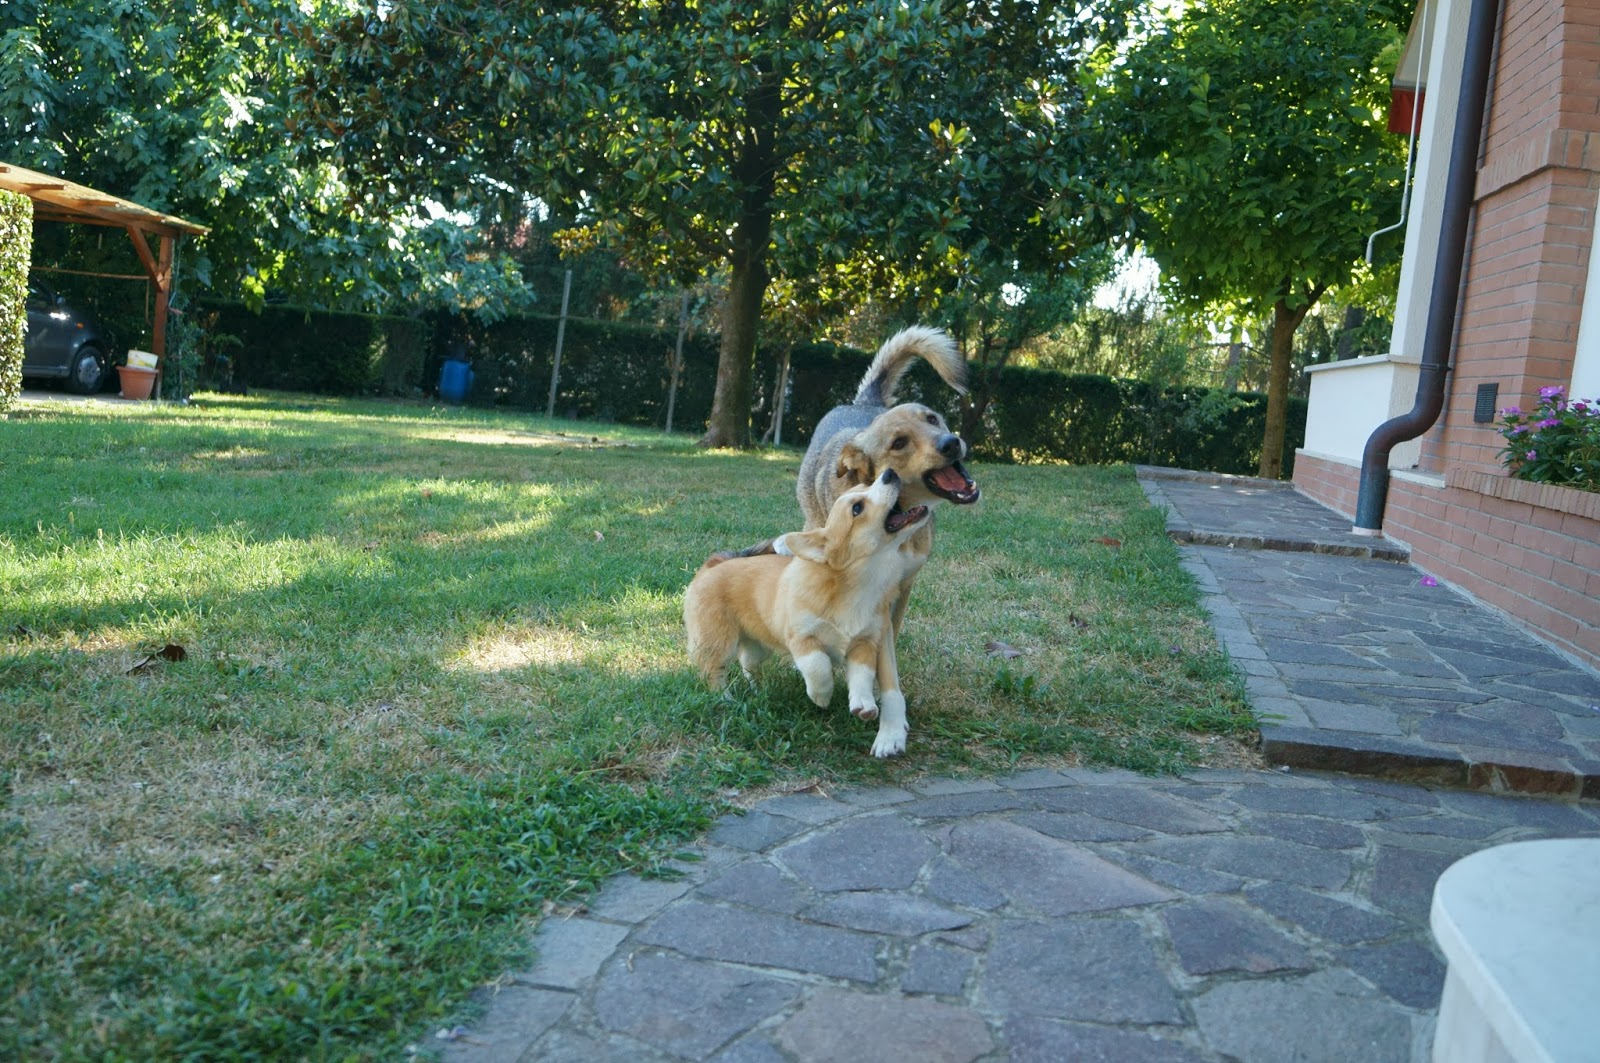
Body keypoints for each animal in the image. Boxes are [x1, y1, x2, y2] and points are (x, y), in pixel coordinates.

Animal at [684, 469, 930, 757]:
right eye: (857, 508)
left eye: (865, 487)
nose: (889, 473)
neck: (860, 581)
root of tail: (712, 565)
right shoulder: (802, 638)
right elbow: (818, 664)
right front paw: (821, 695)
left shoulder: (865, 642)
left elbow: (862, 674)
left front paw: (864, 705)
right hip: (719, 642)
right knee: (713, 671)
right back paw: (724, 698)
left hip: (758, 646)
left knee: (748, 662)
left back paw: (758, 689)